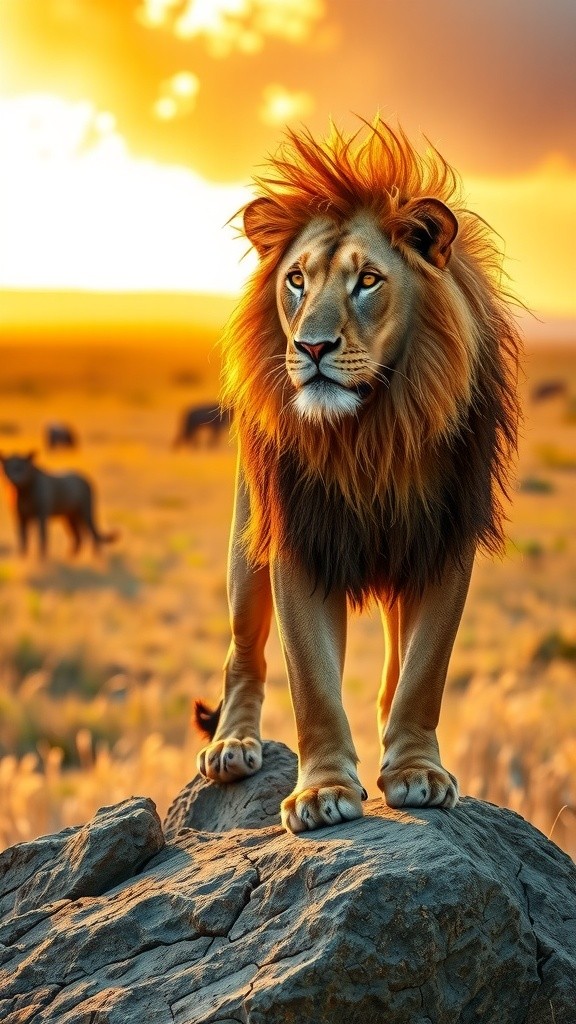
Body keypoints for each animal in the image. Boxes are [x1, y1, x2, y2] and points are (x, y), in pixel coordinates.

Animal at [194, 119, 521, 833]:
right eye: (295, 280)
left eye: (368, 280)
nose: (311, 347)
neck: (369, 433)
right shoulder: (297, 542)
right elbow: (312, 682)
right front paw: (321, 793)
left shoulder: (444, 542)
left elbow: (424, 674)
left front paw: (415, 772)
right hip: (245, 544)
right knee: (243, 654)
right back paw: (232, 744)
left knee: (391, 675)